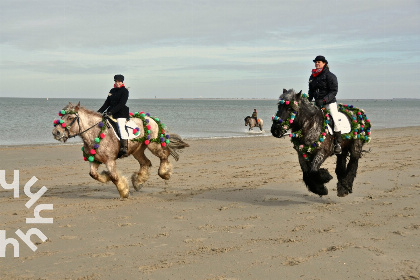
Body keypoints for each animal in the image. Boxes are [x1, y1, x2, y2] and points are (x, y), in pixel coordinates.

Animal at [52, 101, 189, 198]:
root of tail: (151, 118)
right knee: (146, 162)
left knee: (164, 155)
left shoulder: (110, 161)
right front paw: (106, 176)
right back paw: (138, 182)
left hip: (153, 145)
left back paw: (165, 173)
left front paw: (124, 191)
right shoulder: (95, 160)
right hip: (137, 150)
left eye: (70, 118)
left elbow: (114, 176)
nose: (55, 132)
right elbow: (94, 174)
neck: (97, 133)